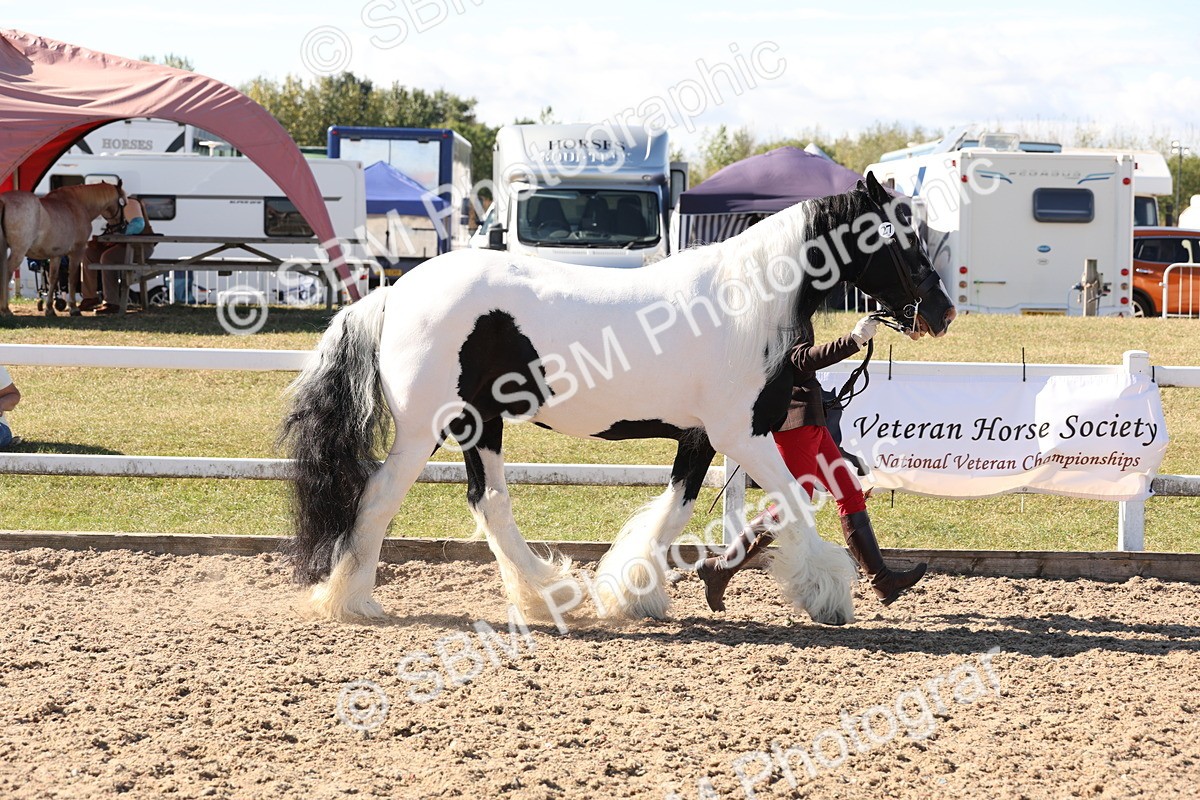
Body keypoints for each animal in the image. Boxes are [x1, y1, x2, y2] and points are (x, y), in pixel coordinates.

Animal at [0, 182, 127, 316]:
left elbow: (53, 279)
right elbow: (73, 278)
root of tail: (4, 201)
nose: (122, 226)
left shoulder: (56, 255)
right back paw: (5, 309)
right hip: (18, 251)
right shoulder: (77, 252)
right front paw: (74, 308)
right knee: (7, 273)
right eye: (124, 203)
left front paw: (50, 309)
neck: (77, 204)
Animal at [280, 172, 956, 626]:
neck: (746, 300)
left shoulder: (701, 437)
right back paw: (353, 601)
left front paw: (635, 592)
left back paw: (548, 594)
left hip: (480, 424)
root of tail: (392, 293)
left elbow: (675, 511)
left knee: (489, 503)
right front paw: (828, 593)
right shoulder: (741, 433)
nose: (942, 312)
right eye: (898, 234)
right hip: (428, 428)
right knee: (378, 500)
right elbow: (790, 500)